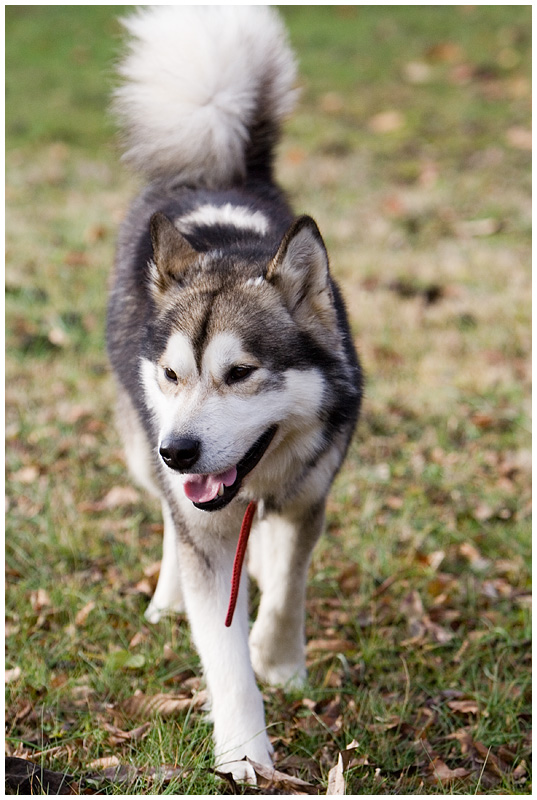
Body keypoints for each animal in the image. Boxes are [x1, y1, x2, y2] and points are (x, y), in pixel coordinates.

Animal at [105, 4, 360, 780]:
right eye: (173, 375)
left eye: (241, 373)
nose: (182, 450)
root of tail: (214, 171)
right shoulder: (208, 529)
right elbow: (222, 655)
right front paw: (247, 755)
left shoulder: (309, 495)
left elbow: (287, 587)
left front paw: (280, 662)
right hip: (140, 449)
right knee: (166, 515)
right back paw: (164, 595)